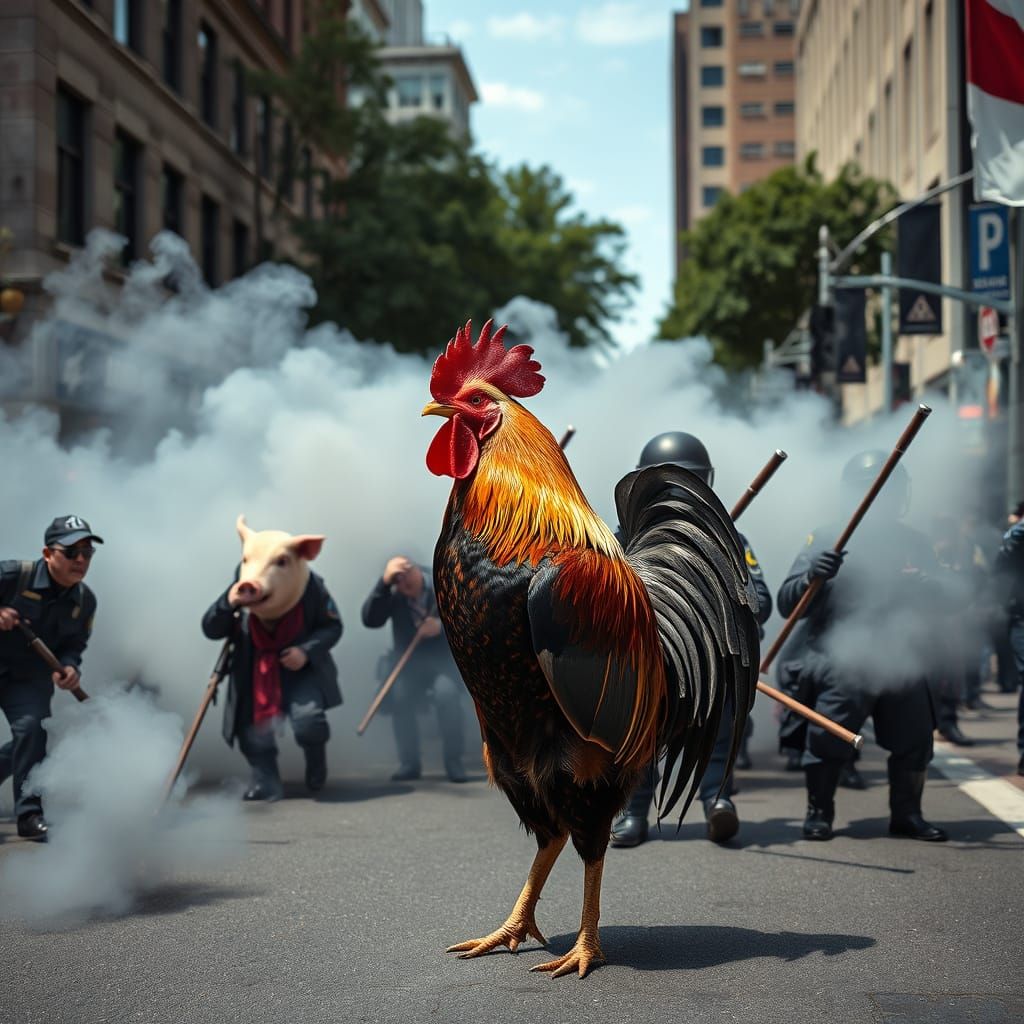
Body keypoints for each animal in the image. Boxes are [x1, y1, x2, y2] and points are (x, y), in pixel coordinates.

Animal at [201, 516, 343, 801]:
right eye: (245, 559)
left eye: (282, 561)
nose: (247, 585)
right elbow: (210, 628)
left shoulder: (320, 595)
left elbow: (331, 628)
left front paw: (293, 657)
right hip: (244, 698)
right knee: (252, 739)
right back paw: (257, 793)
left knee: (310, 724)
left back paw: (316, 782)